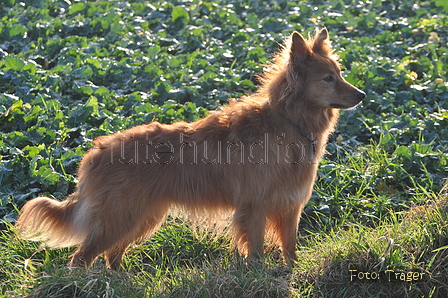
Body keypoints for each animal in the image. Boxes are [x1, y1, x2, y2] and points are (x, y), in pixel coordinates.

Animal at [15, 28, 366, 270]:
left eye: (340, 74)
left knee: (111, 257)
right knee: (81, 258)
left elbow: (289, 249)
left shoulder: (289, 207)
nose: (362, 95)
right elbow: (255, 251)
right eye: (328, 78)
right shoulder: (254, 208)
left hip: (140, 217)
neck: (288, 122)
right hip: (120, 217)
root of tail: (95, 151)